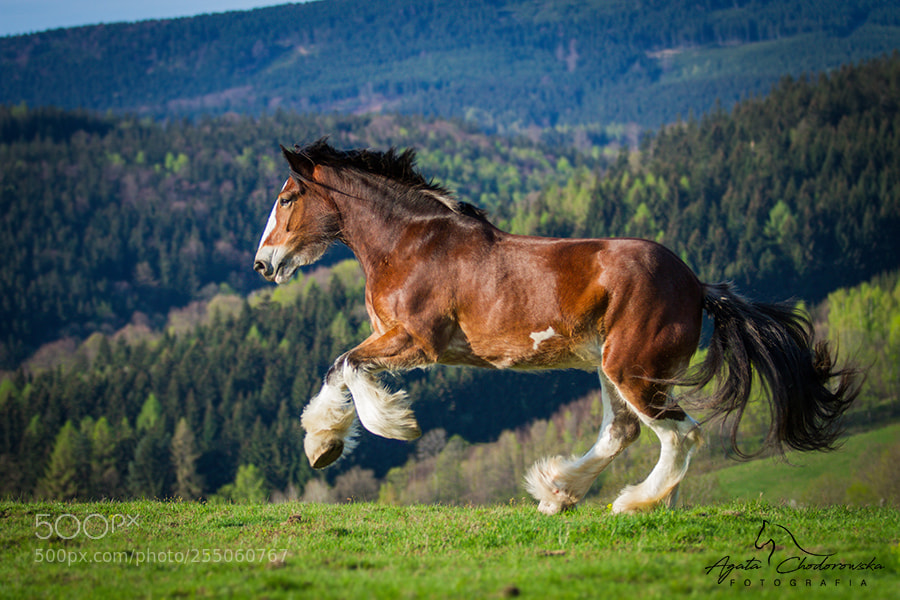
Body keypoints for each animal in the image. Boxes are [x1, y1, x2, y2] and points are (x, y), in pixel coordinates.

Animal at [253, 139, 859, 515]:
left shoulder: (416, 342)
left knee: (678, 433)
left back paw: (633, 502)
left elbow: (345, 364)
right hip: (614, 369)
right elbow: (339, 367)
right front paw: (325, 443)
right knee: (624, 431)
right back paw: (557, 492)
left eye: (286, 198)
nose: (264, 264)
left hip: (632, 369)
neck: (410, 244)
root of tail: (697, 286)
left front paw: (372, 431)